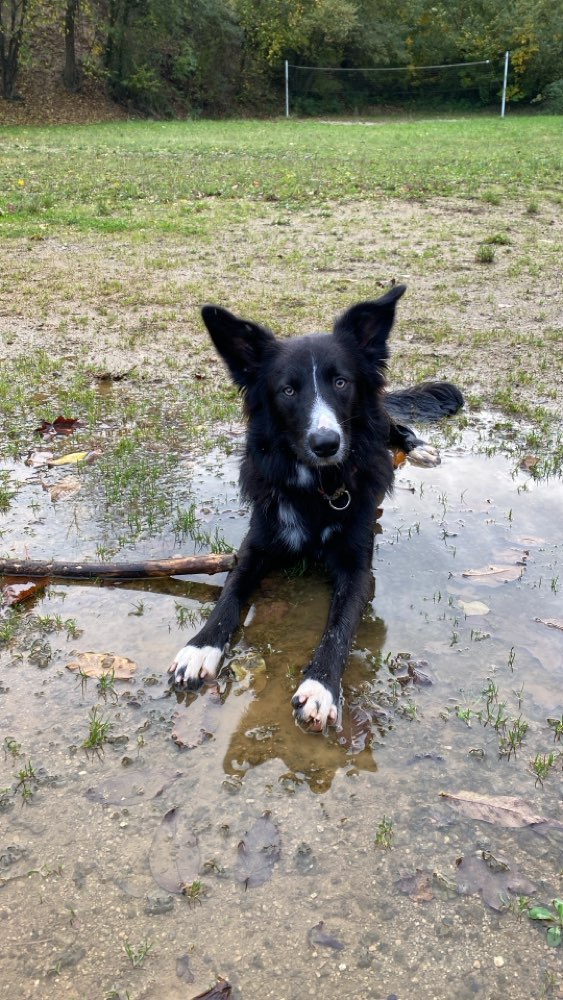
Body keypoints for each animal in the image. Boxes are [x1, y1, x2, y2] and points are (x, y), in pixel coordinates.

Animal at [171, 286, 462, 732]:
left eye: (341, 381)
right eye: (288, 391)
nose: (326, 443)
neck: (319, 487)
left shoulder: (358, 567)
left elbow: (340, 626)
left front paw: (322, 686)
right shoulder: (256, 545)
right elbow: (230, 595)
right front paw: (201, 647)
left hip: (378, 418)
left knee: (394, 424)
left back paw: (418, 447)